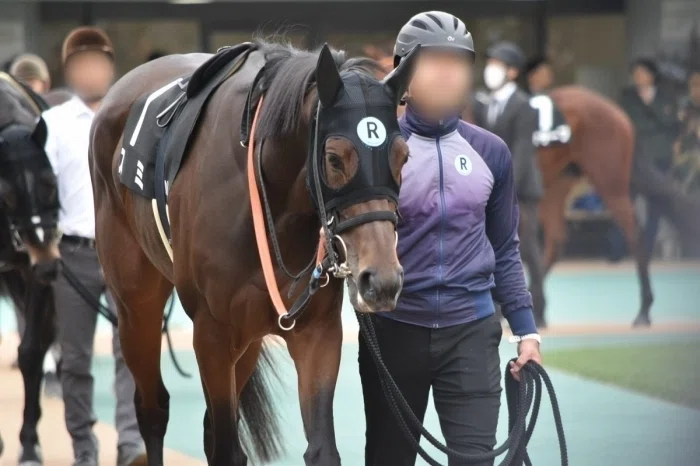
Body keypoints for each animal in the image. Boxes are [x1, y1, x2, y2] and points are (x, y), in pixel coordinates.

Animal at [90, 38, 416, 465]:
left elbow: (321, 449)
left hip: (248, 335)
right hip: (136, 308)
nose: (381, 281)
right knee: (153, 409)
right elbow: (225, 446)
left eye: (403, 156)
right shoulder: (212, 333)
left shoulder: (318, 331)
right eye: (333, 158)